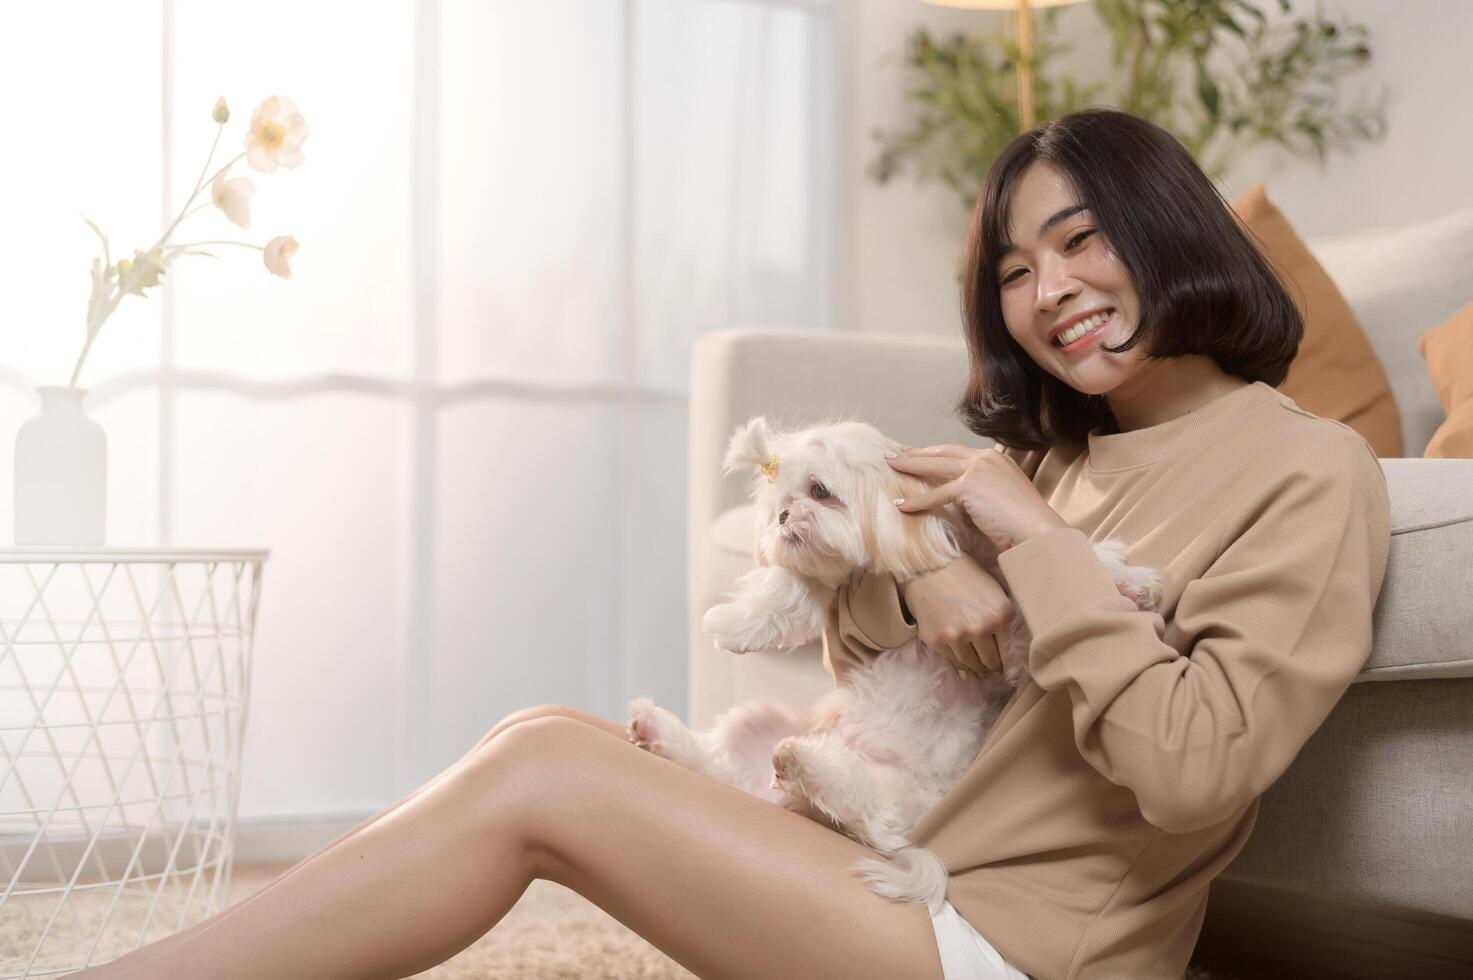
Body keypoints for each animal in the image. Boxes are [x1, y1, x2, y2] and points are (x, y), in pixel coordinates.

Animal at [627, 412, 1154, 907]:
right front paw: (733, 623)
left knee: (861, 803)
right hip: (755, 723)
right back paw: (660, 733)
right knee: (713, 764)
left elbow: (1030, 600)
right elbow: (791, 592)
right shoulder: (830, 579)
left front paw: (1131, 583)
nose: (785, 518)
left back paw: (802, 762)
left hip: (902, 794)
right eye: (779, 506)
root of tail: (781, 797)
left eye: (819, 490)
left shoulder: (1008, 652)